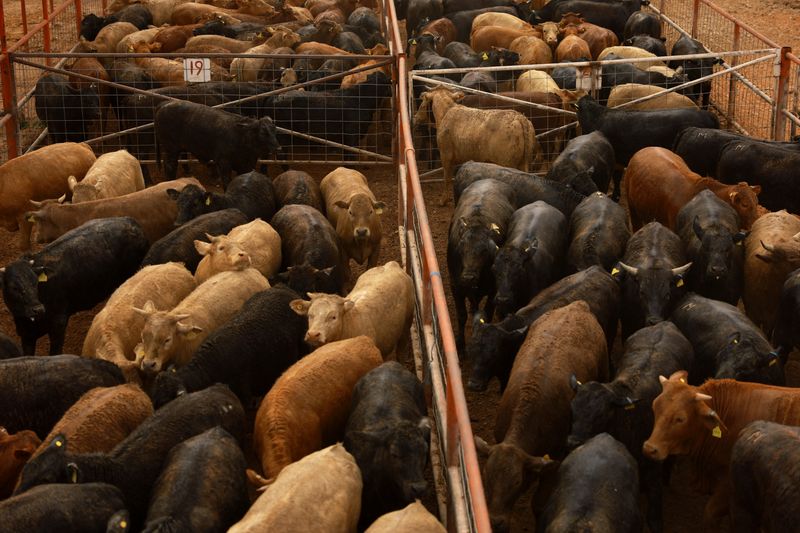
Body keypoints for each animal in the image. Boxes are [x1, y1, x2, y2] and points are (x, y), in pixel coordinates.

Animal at [2, 217, 149, 355]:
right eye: (13, 287)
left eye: (35, 282)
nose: (38, 309)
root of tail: (131, 221)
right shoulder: (26, 336)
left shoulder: (59, 324)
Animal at [447, 179, 517, 349]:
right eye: (461, 246)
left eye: (485, 250)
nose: (468, 277)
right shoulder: (455, 286)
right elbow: (461, 315)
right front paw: (460, 344)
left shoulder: (493, 289)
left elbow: (487, 314)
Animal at [475, 301, 608, 533]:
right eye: (487, 476)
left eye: (516, 482)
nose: (495, 522)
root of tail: (577, 306)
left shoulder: (554, 458)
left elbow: (538, 504)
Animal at [568, 322, 693, 533]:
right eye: (573, 408)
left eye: (601, 414)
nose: (573, 441)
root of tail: (665, 324)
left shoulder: (653, 466)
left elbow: (654, 512)